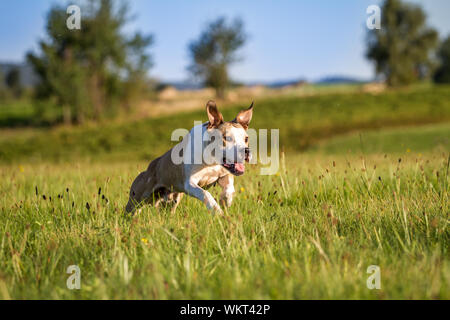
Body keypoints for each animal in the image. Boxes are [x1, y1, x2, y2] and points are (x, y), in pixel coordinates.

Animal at [125, 100, 253, 215]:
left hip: (172, 199)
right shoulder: (190, 183)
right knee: (131, 210)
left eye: (246, 139)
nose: (246, 151)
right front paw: (217, 210)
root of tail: (151, 166)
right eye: (227, 138)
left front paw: (225, 201)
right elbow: (205, 194)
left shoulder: (224, 174)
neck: (211, 161)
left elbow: (229, 189)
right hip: (138, 198)